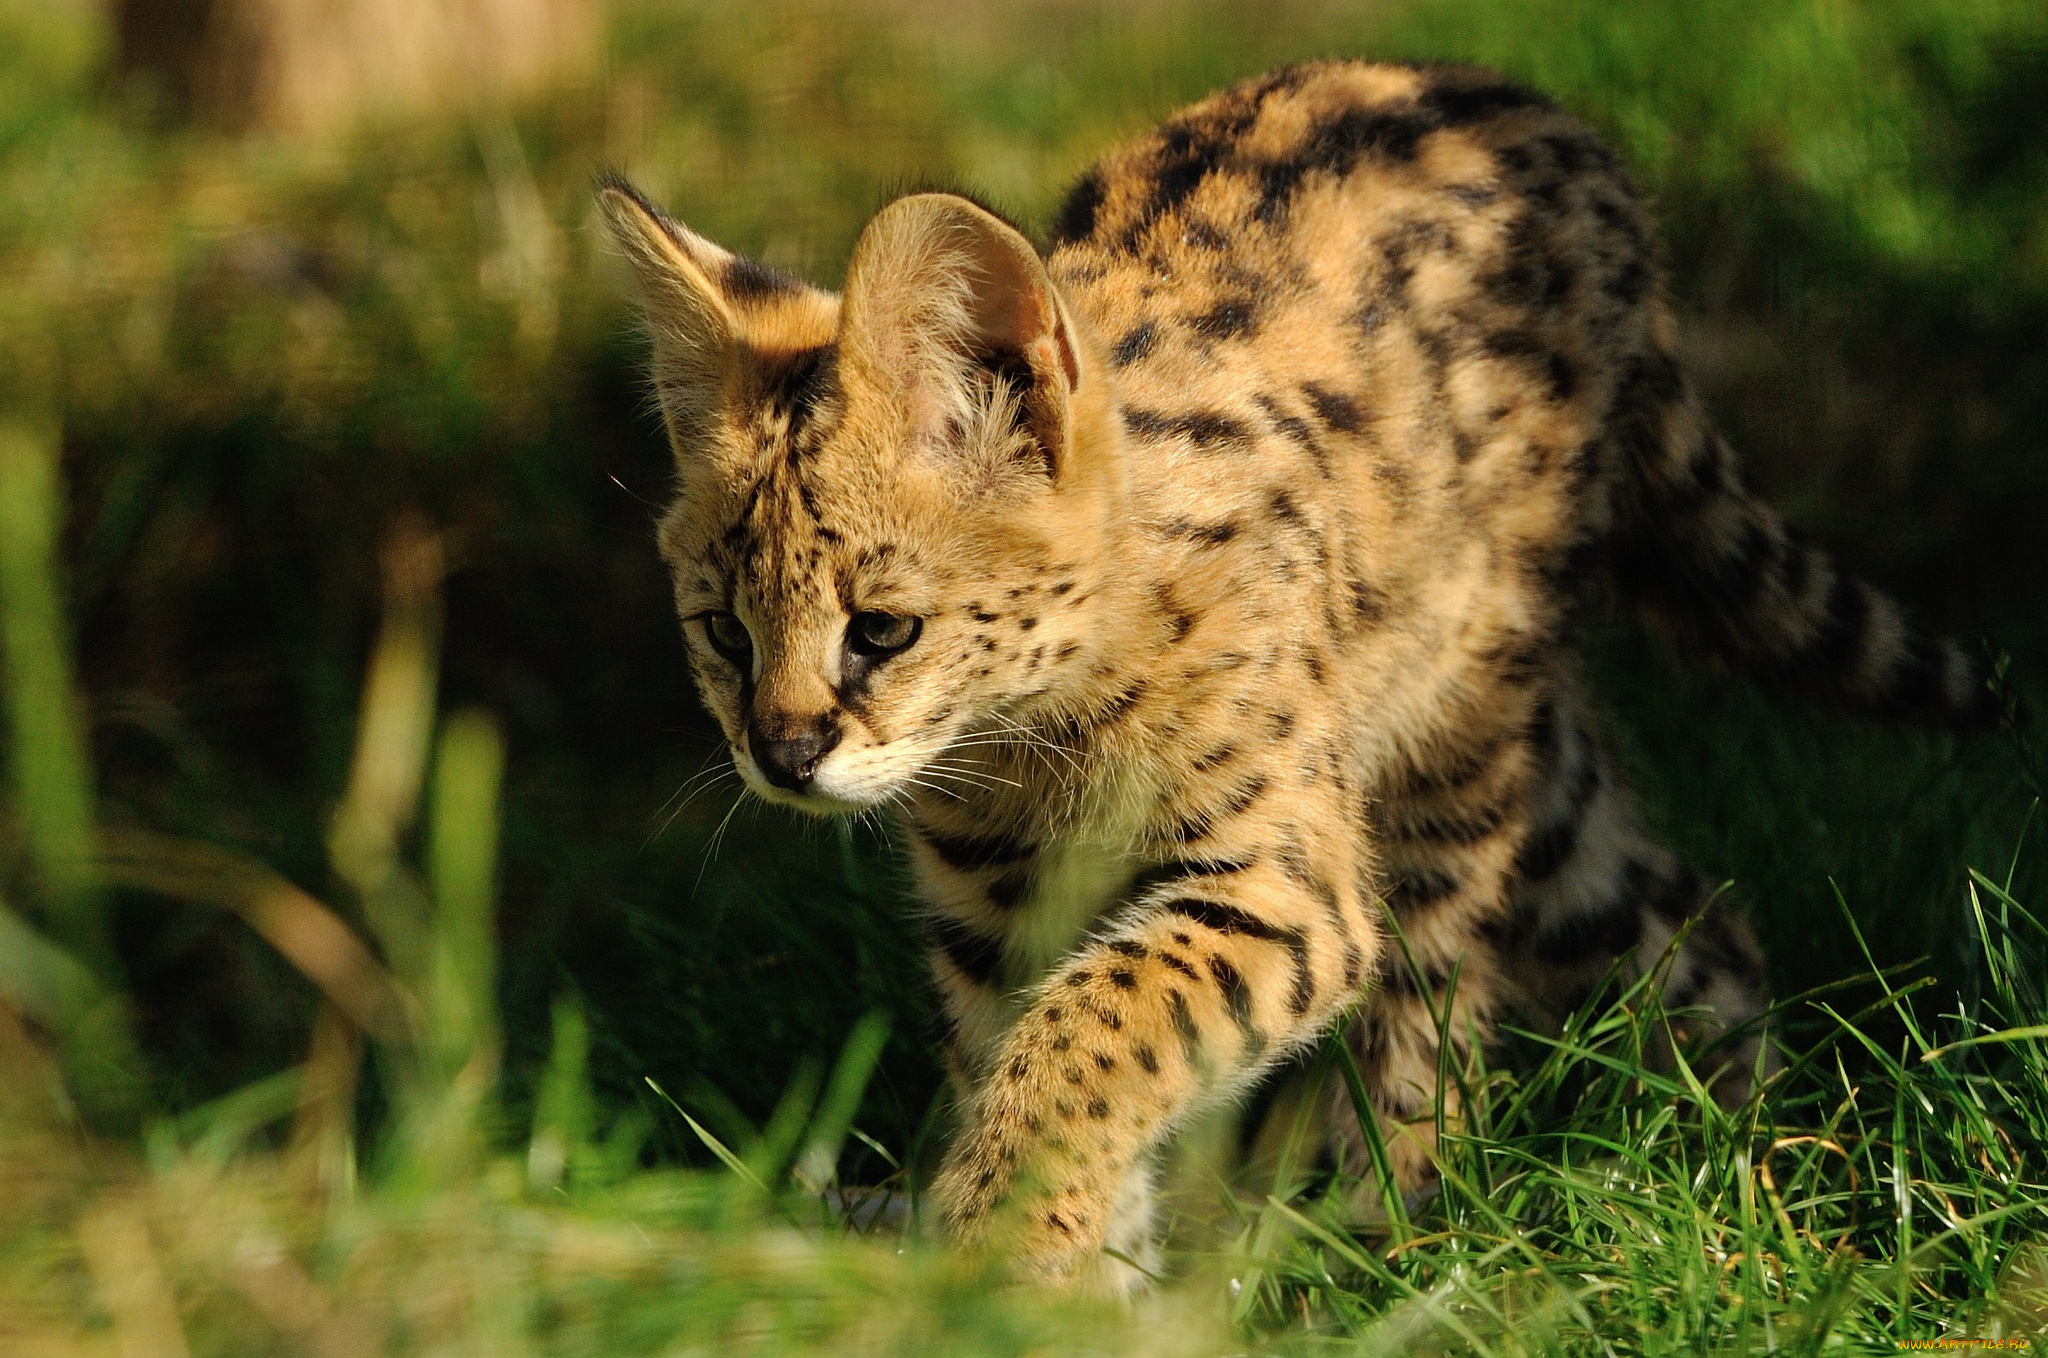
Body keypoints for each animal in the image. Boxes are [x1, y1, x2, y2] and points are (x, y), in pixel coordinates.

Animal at [598, 58, 1990, 1294]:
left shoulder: (1283, 883)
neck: (1028, 736)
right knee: (1677, 910)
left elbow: (1093, 1028)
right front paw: (1074, 1283)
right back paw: (1735, 1161)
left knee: (1436, 998)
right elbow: (1045, 1058)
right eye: (722, 631)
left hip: (1448, 749)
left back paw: (1397, 1236)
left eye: (881, 631)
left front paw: (1007, 1241)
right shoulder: (995, 917)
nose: (781, 756)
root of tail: (1552, 123)